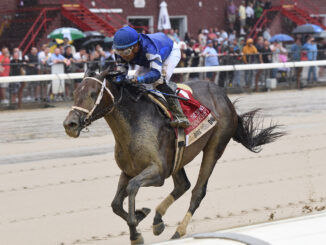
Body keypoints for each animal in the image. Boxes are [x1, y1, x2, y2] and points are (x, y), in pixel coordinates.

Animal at [62, 69, 284, 245]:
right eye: (75, 93)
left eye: (92, 93)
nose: (70, 124)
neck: (135, 124)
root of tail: (224, 96)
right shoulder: (128, 170)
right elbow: (116, 204)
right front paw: (141, 215)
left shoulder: (158, 172)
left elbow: (133, 187)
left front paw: (136, 233)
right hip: (179, 156)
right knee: (183, 185)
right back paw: (158, 221)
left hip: (215, 146)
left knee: (197, 191)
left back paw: (178, 232)